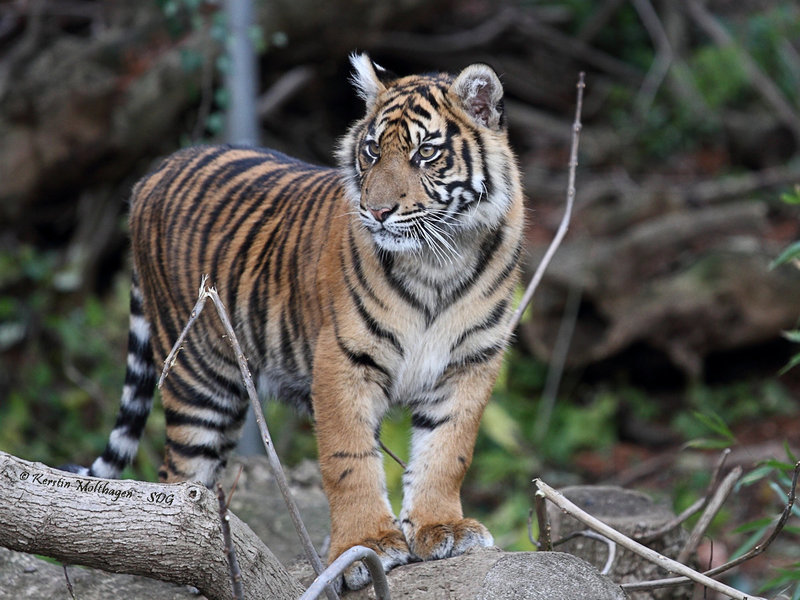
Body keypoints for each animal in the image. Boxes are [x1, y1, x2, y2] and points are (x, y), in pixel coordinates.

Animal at [62, 54, 524, 588]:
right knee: (179, 482)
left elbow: (448, 451)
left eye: (426, 153)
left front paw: (441, 528)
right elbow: (349, 461)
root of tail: (154, 171)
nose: (377, 211)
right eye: (372, 151)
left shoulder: (470, 362)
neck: (439, 260)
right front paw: (368, 545)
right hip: (199, 378)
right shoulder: (343, 360)